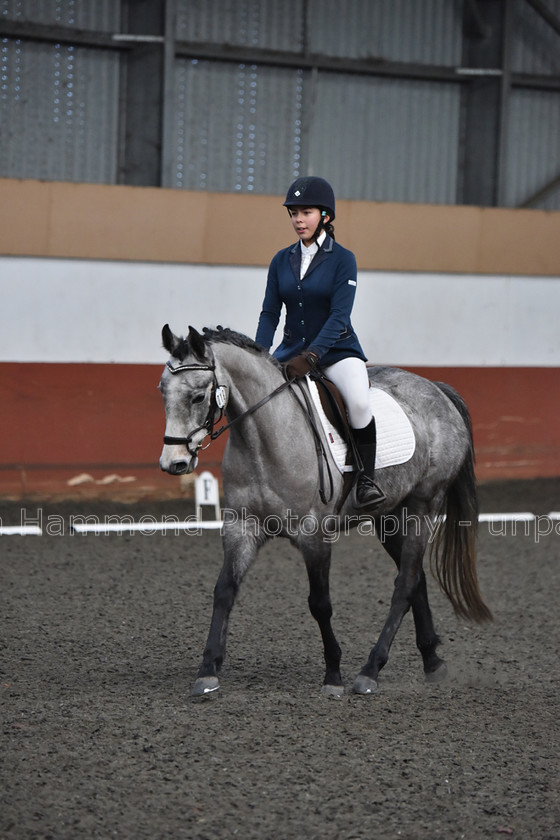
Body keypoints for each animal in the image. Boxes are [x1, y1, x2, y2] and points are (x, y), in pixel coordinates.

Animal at [158, 324, 490, 700]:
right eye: (162, 391)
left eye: (199, 396)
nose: (174, 464)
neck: (264, 440)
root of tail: (436, 388)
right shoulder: (241, 528)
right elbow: (224, 591)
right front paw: (208, 671)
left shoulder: (314, 537)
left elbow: (320, 604)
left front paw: (333, 675)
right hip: (389, 517)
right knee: (416, 579)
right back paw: (432, 661)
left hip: (423, 506)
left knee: (405, 583)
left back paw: (370, 671)